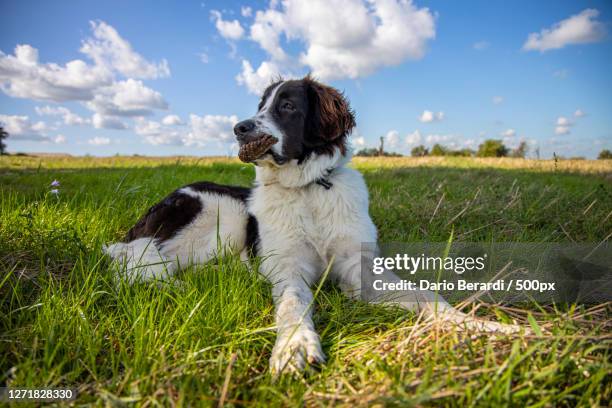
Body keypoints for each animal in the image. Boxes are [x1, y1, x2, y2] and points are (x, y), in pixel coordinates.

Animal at [106, 75, 520, 374]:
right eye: (260, 107)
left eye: (287, 106)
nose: (239, 128)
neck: (308, 189)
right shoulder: (287, 266)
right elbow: (293, 303)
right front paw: (295, 347)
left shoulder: (359, 267)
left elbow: (426, 296)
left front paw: (492, 328)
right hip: (221, 214)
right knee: (136, 263)